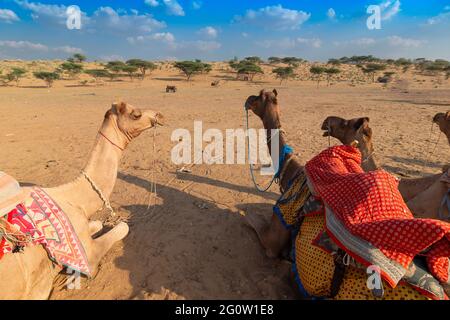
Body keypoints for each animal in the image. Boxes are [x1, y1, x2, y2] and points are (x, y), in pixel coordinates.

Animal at [0, 102, 164, 300]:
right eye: (136, 114)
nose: (160, 115)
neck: (75, 199)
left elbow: (97, 224)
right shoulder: (88, 256)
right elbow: (122, 227)